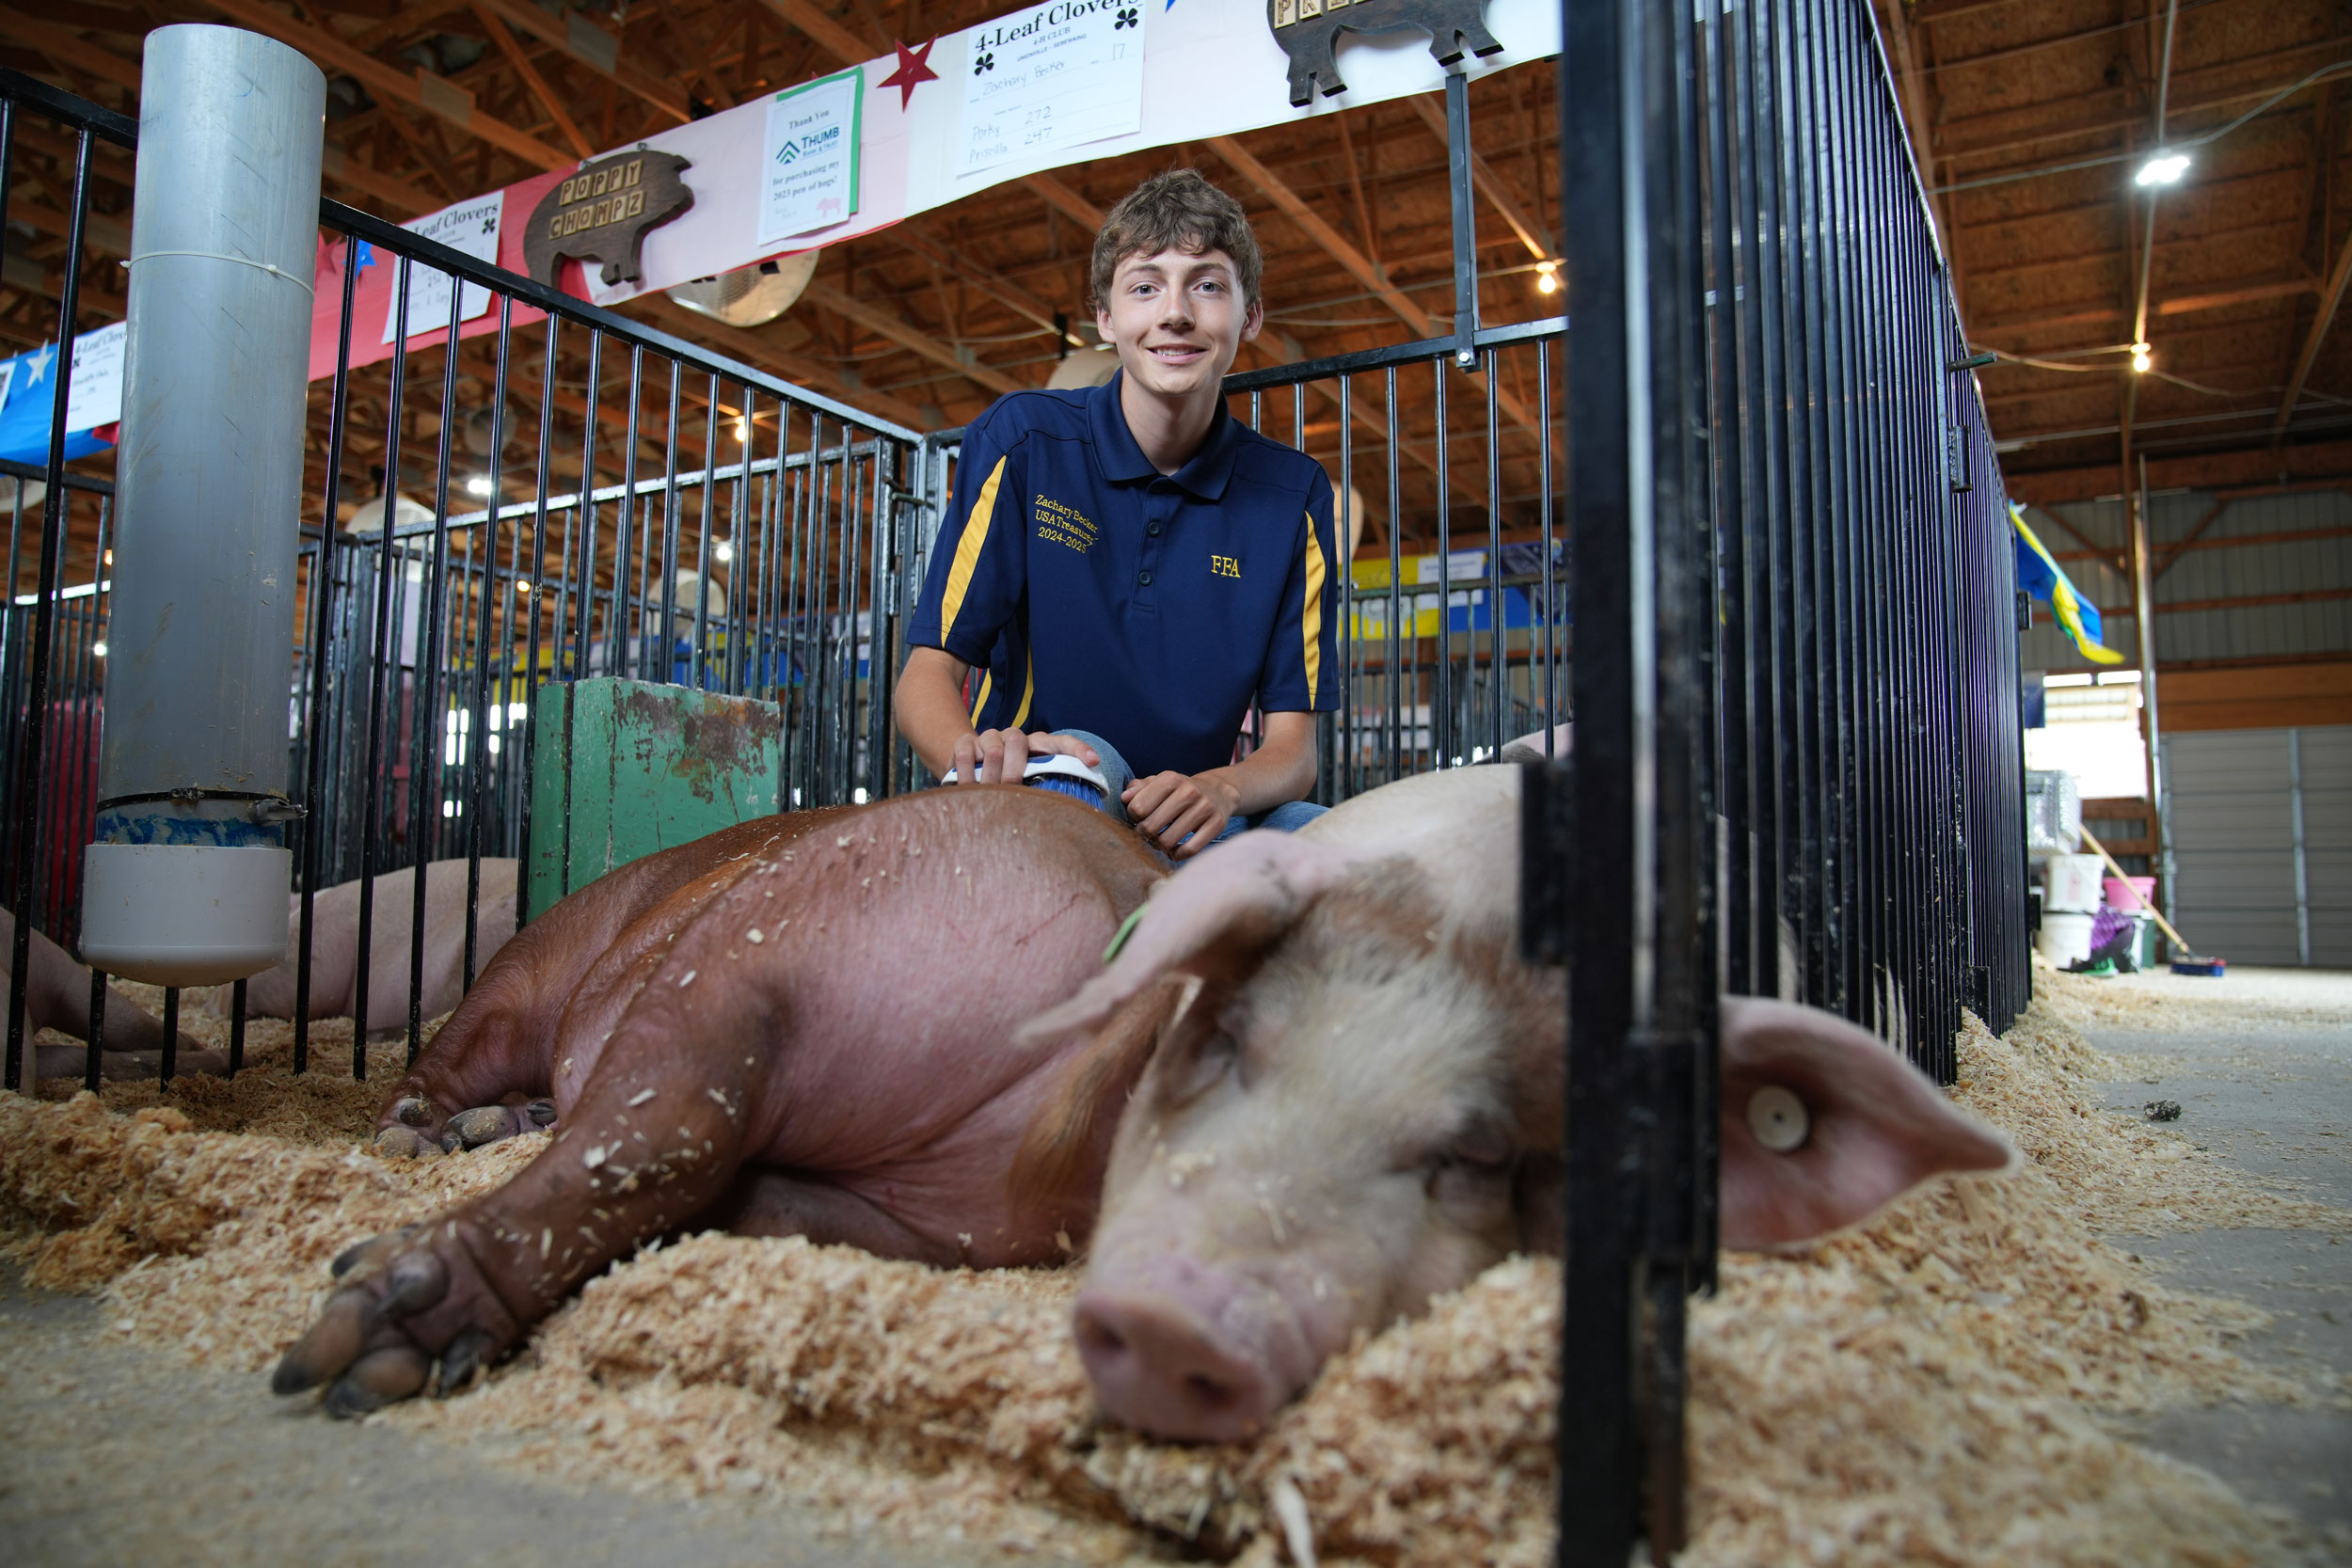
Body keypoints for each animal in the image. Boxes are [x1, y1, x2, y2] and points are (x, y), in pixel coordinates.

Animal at [270, 766, 2004, 1438]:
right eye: (1227, 1034)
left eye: (1482, 1158)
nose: (1189, 1318)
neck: (1017, 1138)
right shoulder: (761, 951)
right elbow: (657, 1134)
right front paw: (349, 1352)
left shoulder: (921, 1222)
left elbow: (706, 1186)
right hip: (538, 961)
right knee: (468, 1062)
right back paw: (423, 1141)